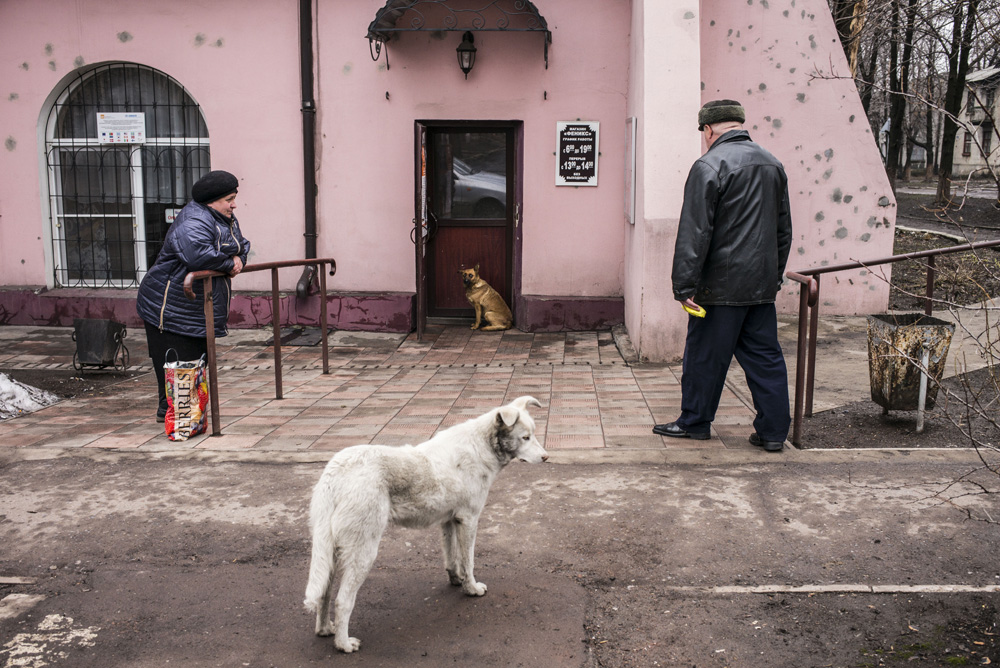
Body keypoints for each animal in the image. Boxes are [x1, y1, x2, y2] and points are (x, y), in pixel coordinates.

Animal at [302, 396, 548, 652]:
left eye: (533, 435)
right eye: (525, 437)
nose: (546, 457)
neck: (482, 447)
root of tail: (335, 473)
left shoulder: (450, 520)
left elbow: (452, 559)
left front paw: (456, 580)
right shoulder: (469, 519)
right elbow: (468, 562)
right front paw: (472, 589)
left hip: (330, 551)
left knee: (324, 593)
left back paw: (325, 629)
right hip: (363, 552)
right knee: (343, 601)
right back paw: (343, 644)